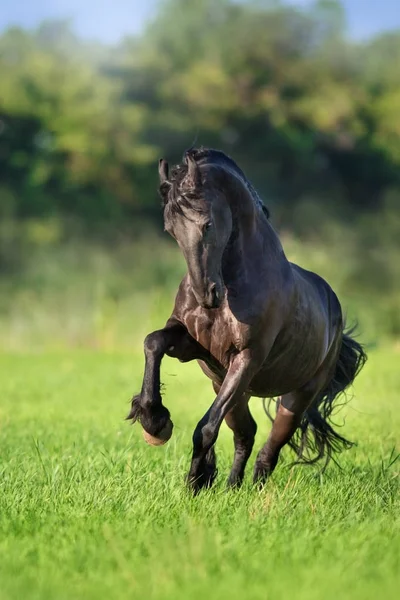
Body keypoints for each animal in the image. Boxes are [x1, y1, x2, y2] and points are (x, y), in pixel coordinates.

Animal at [130, 146, 368, 492]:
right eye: (170, 230)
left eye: (207, 224)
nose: (207, 295)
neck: (233, 285)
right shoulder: (196, 347)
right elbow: (154, 342)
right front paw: (154, 422)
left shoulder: (246, 357)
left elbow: (205, 429)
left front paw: (192, 485)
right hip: (226, 386)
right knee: (247, 433)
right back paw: (231, 486)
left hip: (295, 397)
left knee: (270, 448)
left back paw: (254, 490)